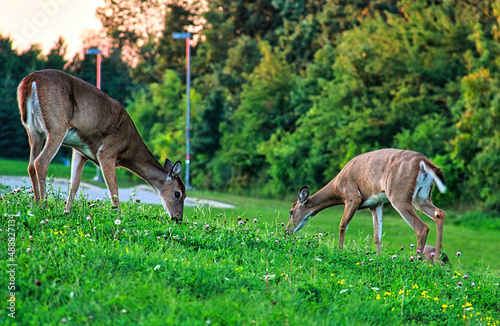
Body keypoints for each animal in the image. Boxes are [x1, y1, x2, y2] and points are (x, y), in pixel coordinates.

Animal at [17, 69, 187, 220]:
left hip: (33, 130)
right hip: (56, 127)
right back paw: (44, 206)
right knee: (41, 162)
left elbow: (74, 183)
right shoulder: (107, 153)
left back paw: (36, 203)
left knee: (31, 165)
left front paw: (67, 212)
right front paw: (119, 216)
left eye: (185, 195)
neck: (128, 149)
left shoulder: (80, 151)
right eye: (177, 193)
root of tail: (30, 80)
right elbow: (113, 189)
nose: (177, 219)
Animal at [288, 149, 448, 256]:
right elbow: (377, 235)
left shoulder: (353, 196)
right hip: (421, 197)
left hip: (399, 195)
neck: (337, 188)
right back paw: (437, 260)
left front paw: (339, 250)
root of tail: (423, 162)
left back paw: (416, 260)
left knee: (422, 227)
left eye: (291, 211)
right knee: (439, 213)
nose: (286, 231)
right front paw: (378, 257)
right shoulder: (375, 204)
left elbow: (342, 225)